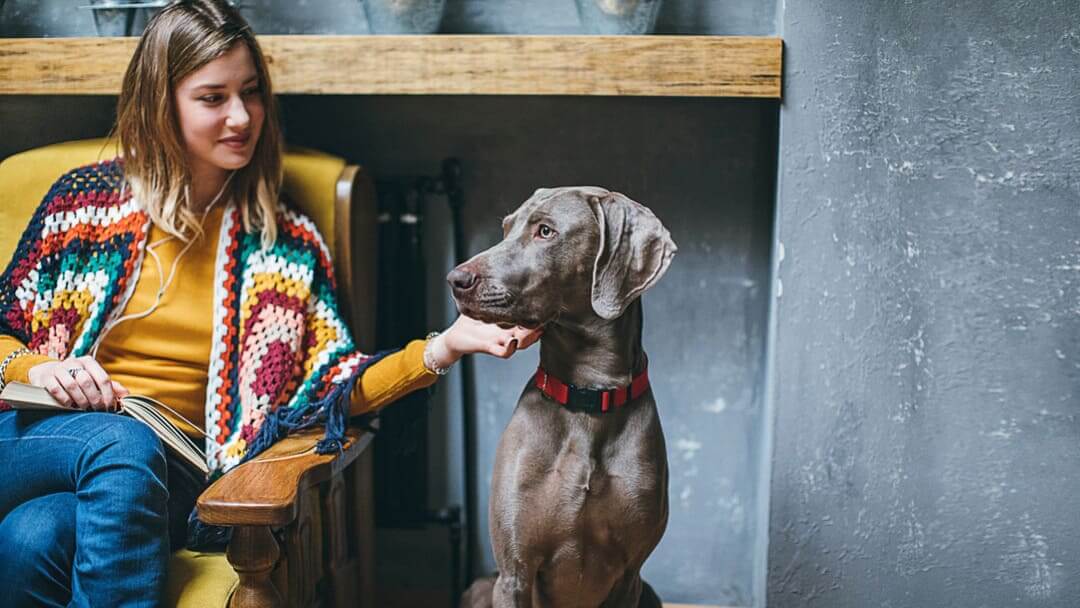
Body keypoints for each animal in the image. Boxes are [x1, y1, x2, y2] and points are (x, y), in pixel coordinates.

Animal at [449, 186, 673, 608]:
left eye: (546, 231)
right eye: (506, 228)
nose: (456, 279)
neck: (588, 395)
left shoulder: (629, 576)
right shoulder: (514, 572)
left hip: (648, 592)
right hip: (482, 586)